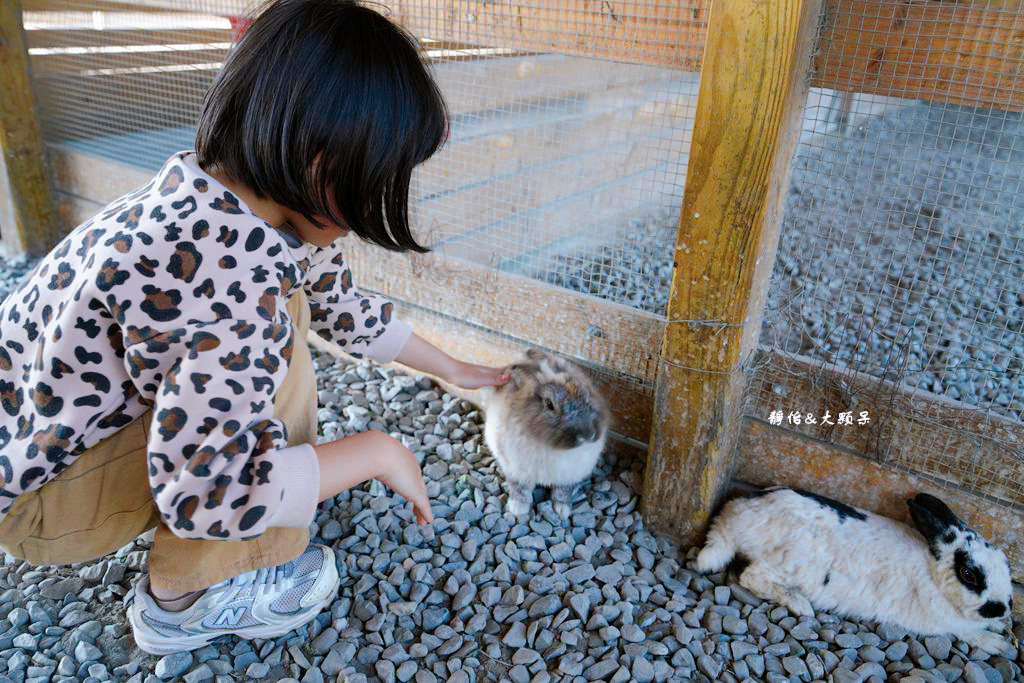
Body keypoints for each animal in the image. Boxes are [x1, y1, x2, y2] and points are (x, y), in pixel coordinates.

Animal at [481, 352, 606, 518]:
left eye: (587, 397)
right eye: (549, 404)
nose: (588, 436)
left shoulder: (569, 475)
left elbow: (563, 491)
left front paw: (562, 511)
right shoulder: (517, 470)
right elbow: (520, 488)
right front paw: (518, 509)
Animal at [696, 489, 1015, 655]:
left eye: (1006, 564)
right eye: (969, 574)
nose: (1001, 608)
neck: (933, 573)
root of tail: (734, 518)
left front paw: (1000, 627)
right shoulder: (943, 624)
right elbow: (967, 632)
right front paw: (997, 644)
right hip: (789, 566)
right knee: (752, 577)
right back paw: (801, 605)